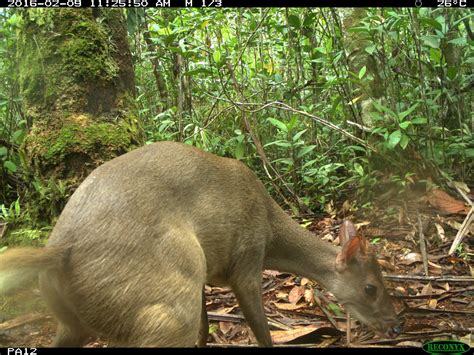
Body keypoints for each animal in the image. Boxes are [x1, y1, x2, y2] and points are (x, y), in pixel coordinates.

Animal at [0, 141, 400, 348]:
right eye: (371, 287)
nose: (396, 326)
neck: (270, 228)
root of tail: (60, 249)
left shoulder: (207, 277)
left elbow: (206, 329)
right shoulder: (246, 259)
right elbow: (260, 328)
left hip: (75, 321)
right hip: (169, 302)